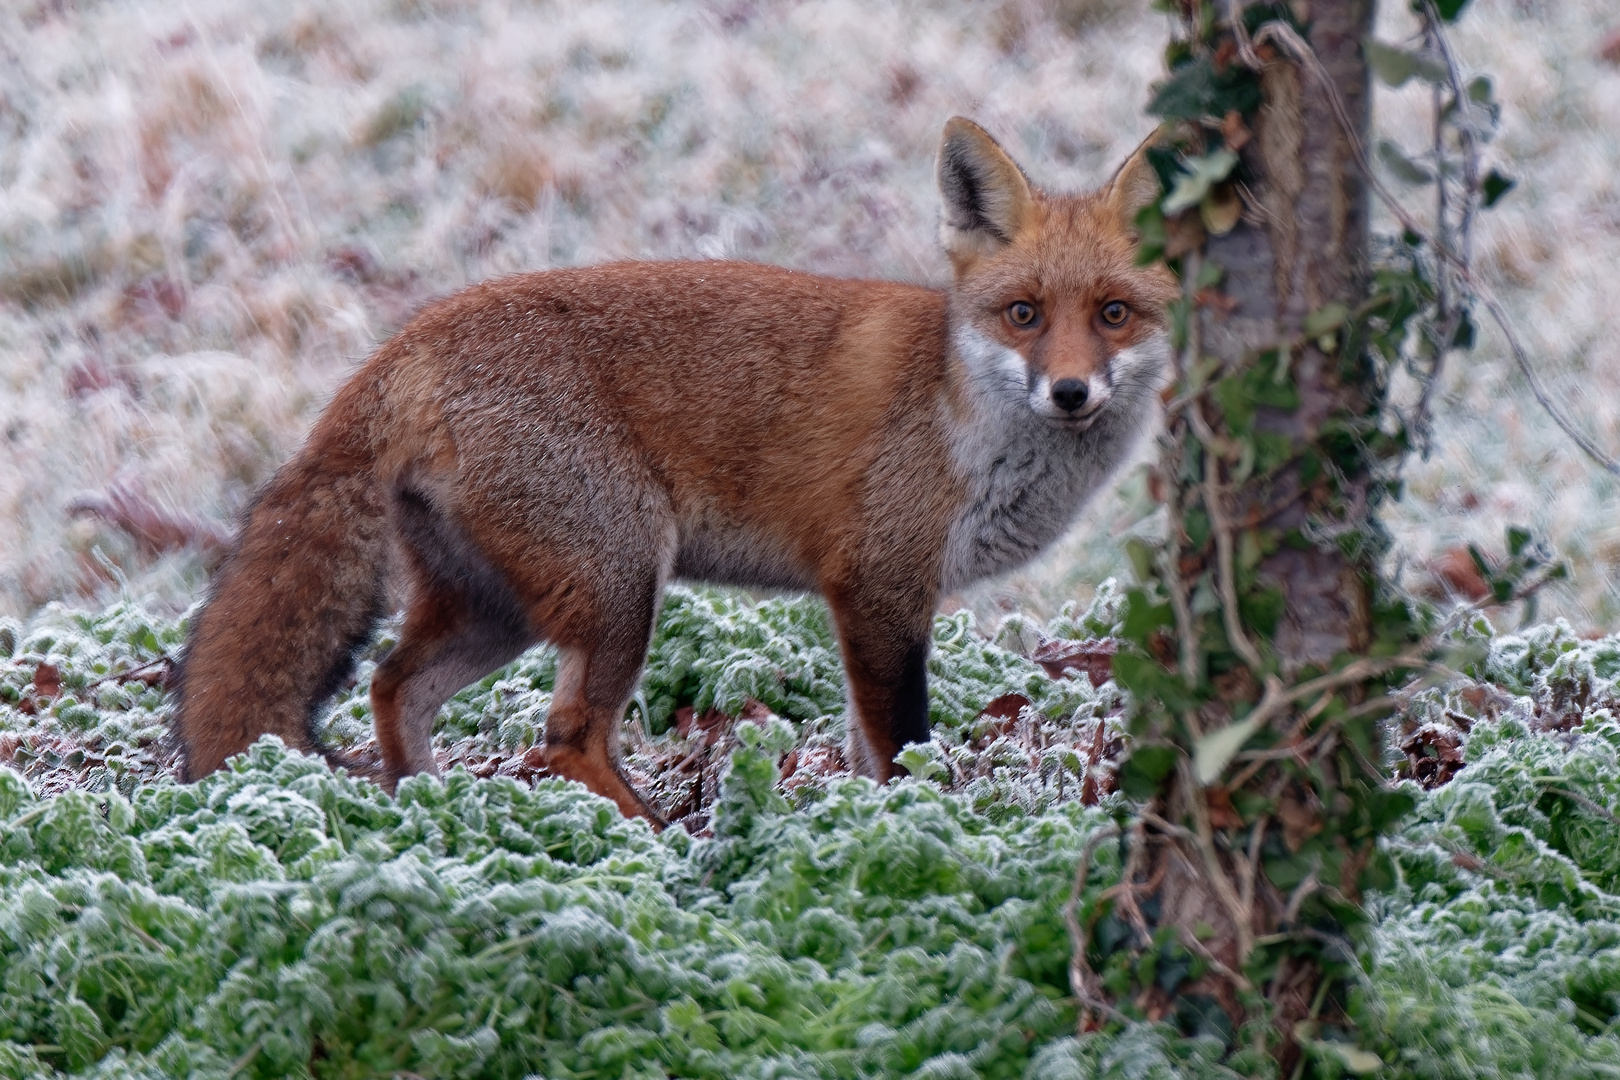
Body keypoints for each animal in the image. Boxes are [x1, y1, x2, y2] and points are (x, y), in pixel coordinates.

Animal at [167, 118, 1179, 822]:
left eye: (1115, 313)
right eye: (1023, 314)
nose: (1071, 392)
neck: (959, 408)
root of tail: (407, 342)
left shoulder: (883, 605)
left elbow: (866, 749)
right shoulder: (877, 588)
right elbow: (900, 747)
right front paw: (916, 829)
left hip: (499, 608)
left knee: (392, 685)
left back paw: (431, 813)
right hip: (621, 586)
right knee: (565, 738)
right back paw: (656, 841)